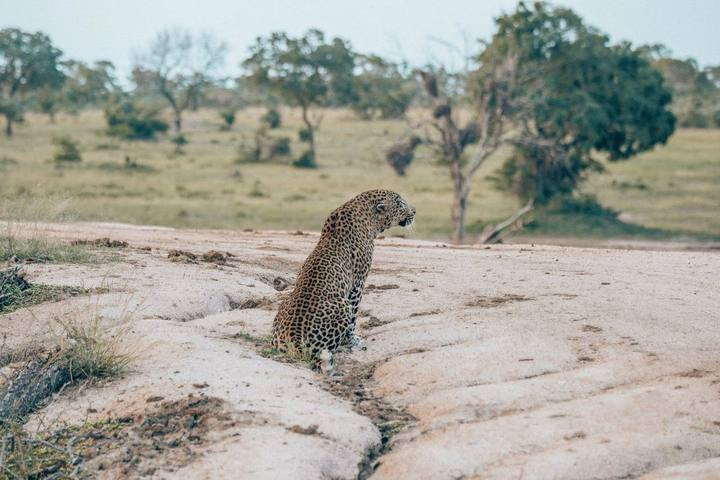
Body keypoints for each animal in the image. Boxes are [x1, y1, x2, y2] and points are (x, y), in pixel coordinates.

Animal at [271, 189, 415, 374]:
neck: (370, 219)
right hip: (342, 306)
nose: (414, 212)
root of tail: (293, 338)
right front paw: (353, 339)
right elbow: (354, 315)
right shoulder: (358, 283)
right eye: (401, 204)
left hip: (284, 304)